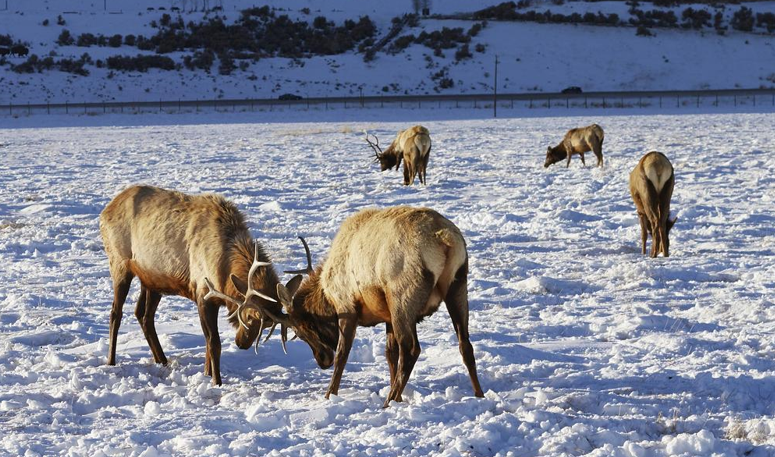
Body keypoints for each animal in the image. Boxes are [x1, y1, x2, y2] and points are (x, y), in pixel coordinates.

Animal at [99, 183, 288, 382]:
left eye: (268, 325)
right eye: (250, 316)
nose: (241, 343)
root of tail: (105, 211)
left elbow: (208, 343)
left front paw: (207, 373)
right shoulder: (203, 293)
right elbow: (214, 343)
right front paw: (216, 381)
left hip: (151, 279)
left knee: (143, 315)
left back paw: (162, 360)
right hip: (119, 264)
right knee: (116, 312)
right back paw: (111, 361)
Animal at [206, 206, 484, 406]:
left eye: (303, 328)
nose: (321, 360)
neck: (327, 295)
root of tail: (446, 240)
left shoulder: (348, 308)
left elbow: (343, 353)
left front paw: (330, 393)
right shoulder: (385, 316)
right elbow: (389, 354)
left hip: (402, 297)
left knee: (412, 348)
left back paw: (388, 401)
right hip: (457, 286)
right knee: (465, 344)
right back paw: (479, 395)